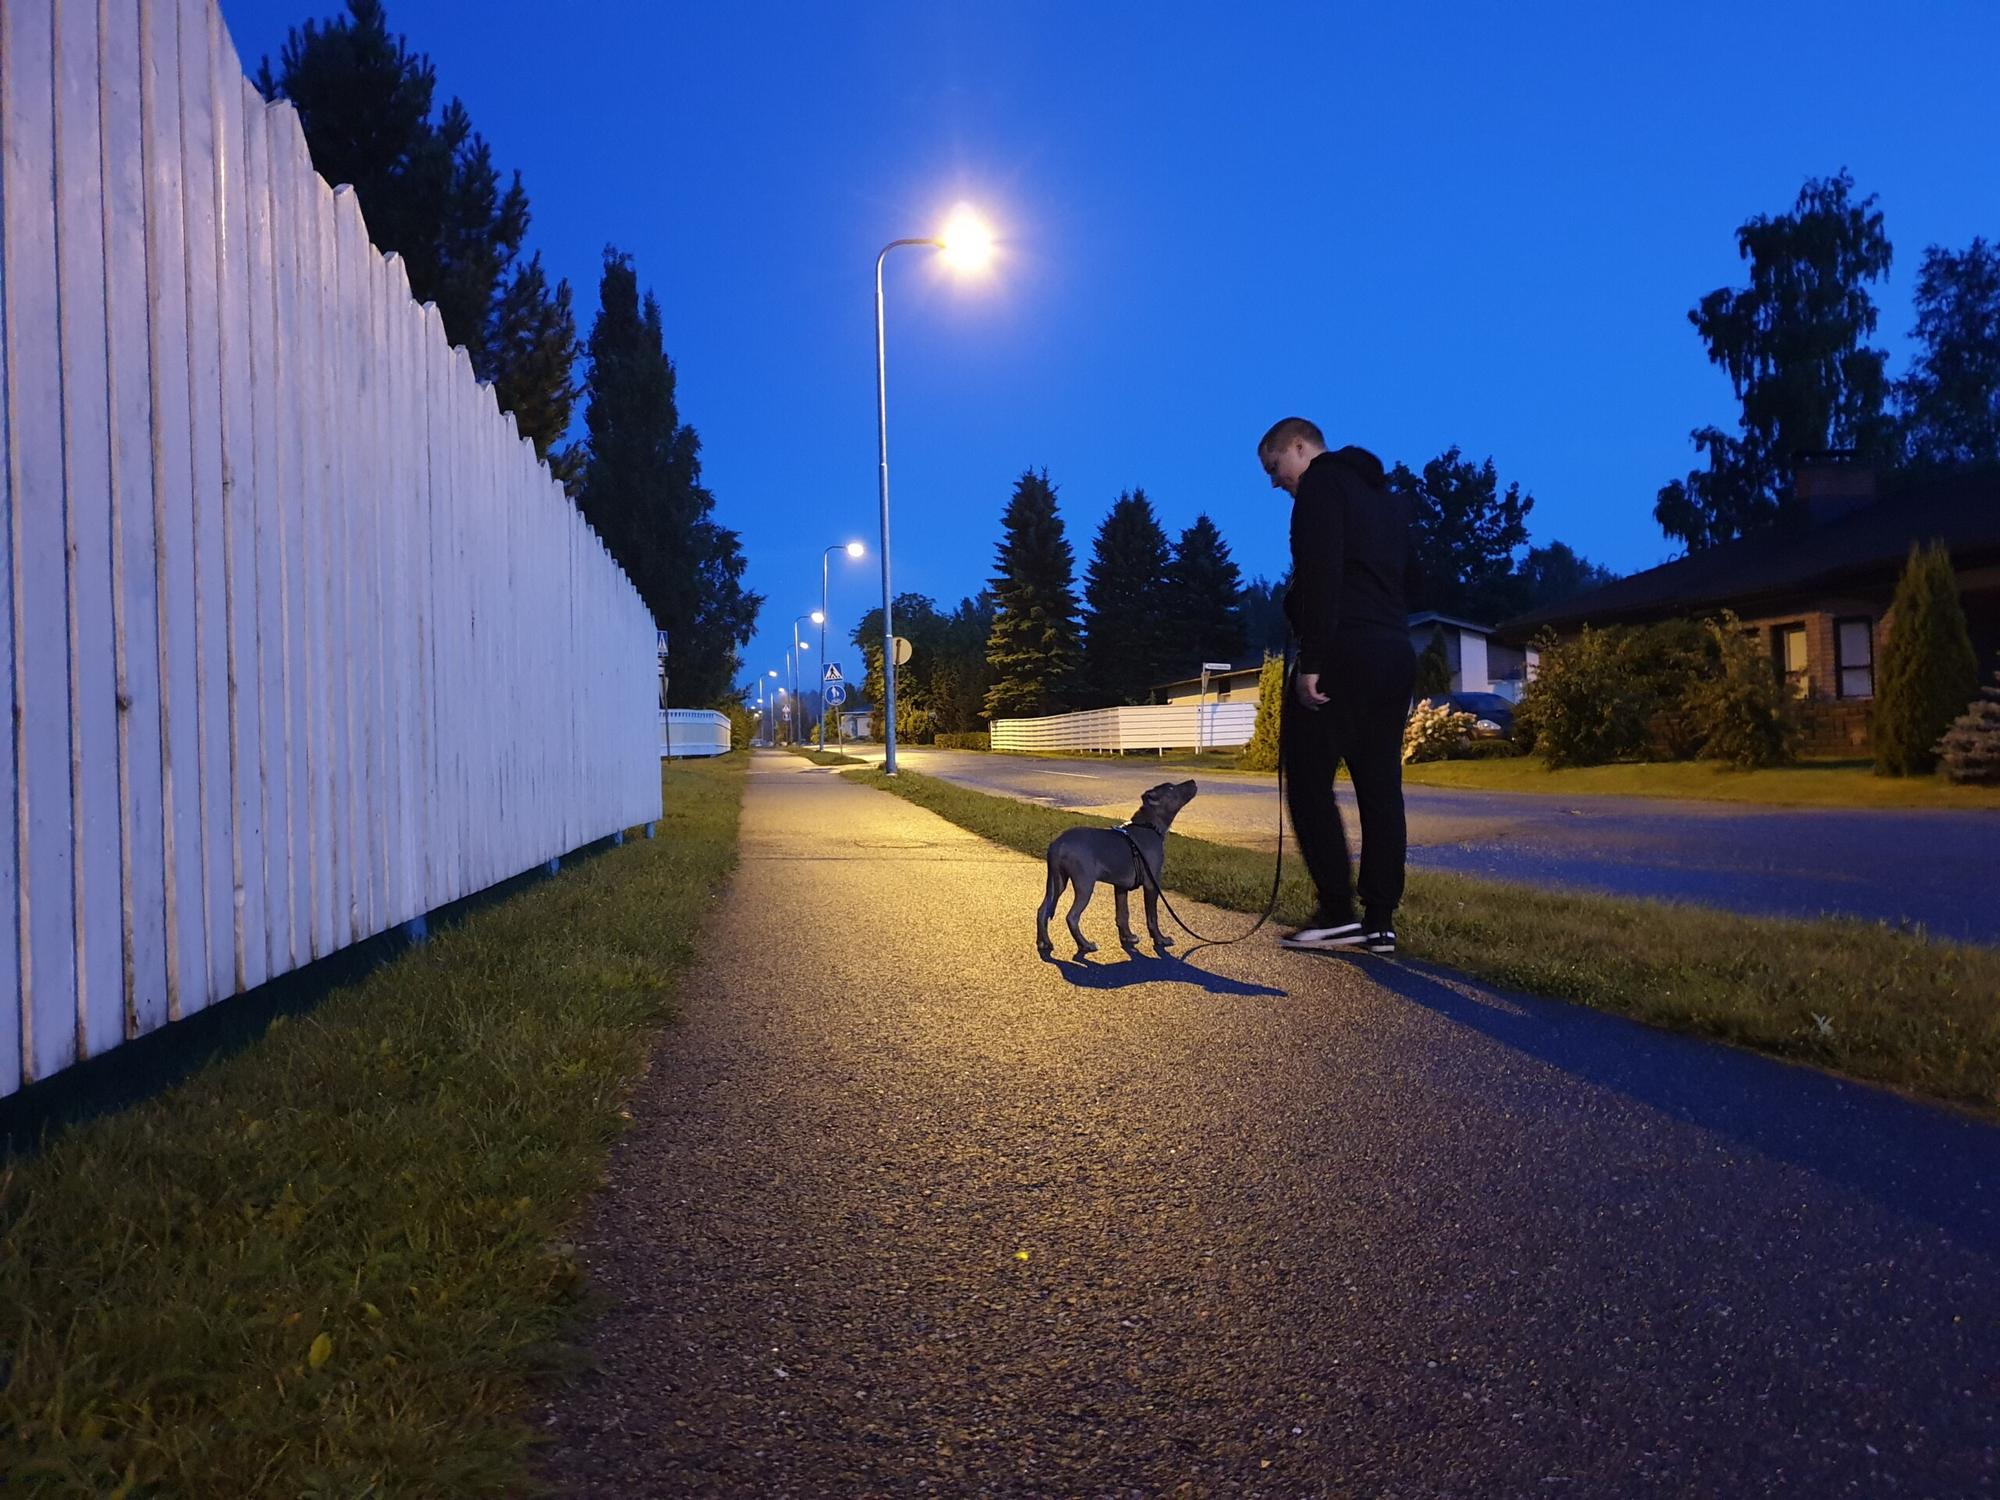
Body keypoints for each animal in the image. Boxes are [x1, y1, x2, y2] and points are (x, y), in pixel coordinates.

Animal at [1040, 780, 1192, 956]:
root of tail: (1058, 843)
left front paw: (1127, 937)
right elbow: (1152, 916)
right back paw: (1085, 944)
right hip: (1084, 884)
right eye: (1172, 788)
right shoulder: (1151, 884)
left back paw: (1044, 942)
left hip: (1056, 882)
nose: (1193, 782)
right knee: (1071, 916)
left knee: (1042, 910)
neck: (1148, 825)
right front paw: (1160, 940)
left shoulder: (1121, 886)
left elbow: (1123, 914)